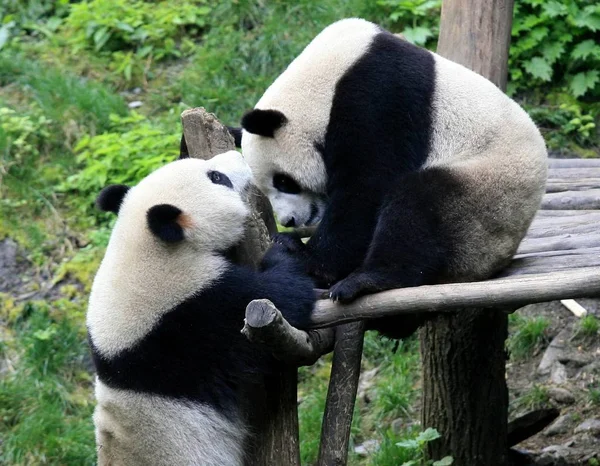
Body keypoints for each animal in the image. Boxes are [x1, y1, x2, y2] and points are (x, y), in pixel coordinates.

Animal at [88, 150, 318, 466]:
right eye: (217, 177)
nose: (238, 154)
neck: (146, 249)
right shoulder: (194, 312)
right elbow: (282, 296)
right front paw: (287, 247)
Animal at [236, 18, 548, 336]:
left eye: (283, 181)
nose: (289, 220)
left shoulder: (377, 99)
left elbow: (367, 189)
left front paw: (302, 256)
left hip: (485, 197)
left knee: (417, 208)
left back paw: (367, 281)